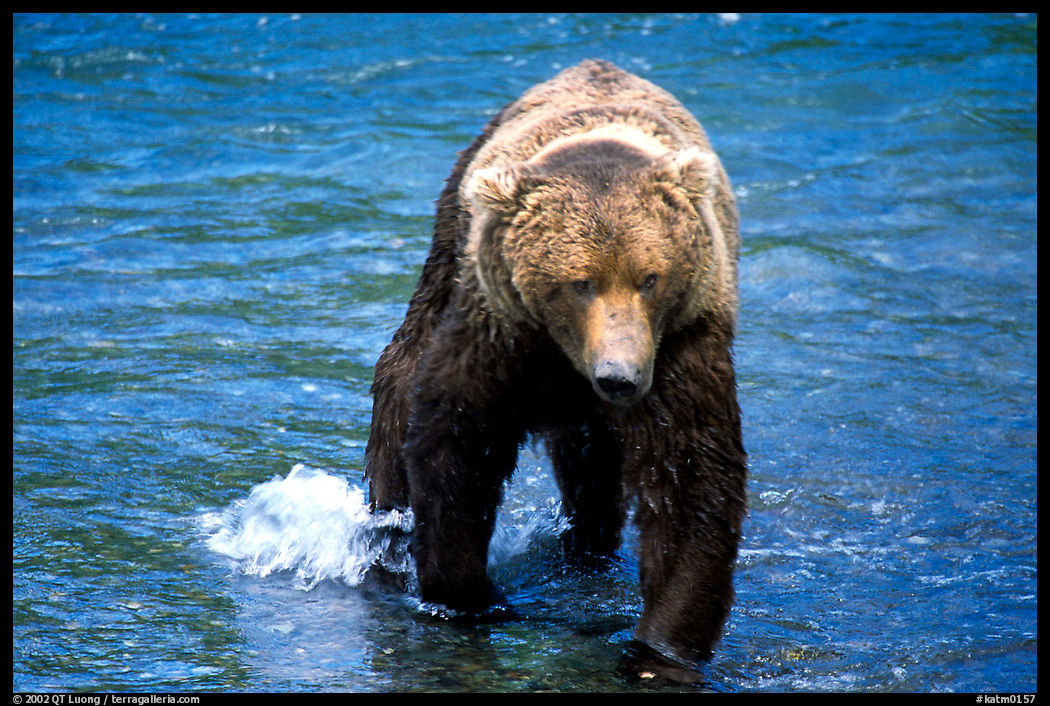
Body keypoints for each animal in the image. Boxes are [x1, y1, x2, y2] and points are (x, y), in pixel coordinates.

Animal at [364, 59, 746, 683]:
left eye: (650, 277)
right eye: (579, 282)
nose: (619, 376)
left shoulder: (680, 346)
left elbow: (690, 478)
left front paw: (661, 647)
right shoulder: (501, 332)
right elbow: (457, 442)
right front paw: (473, 597)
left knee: (591, 468)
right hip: (449, 243)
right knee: (401, 378)